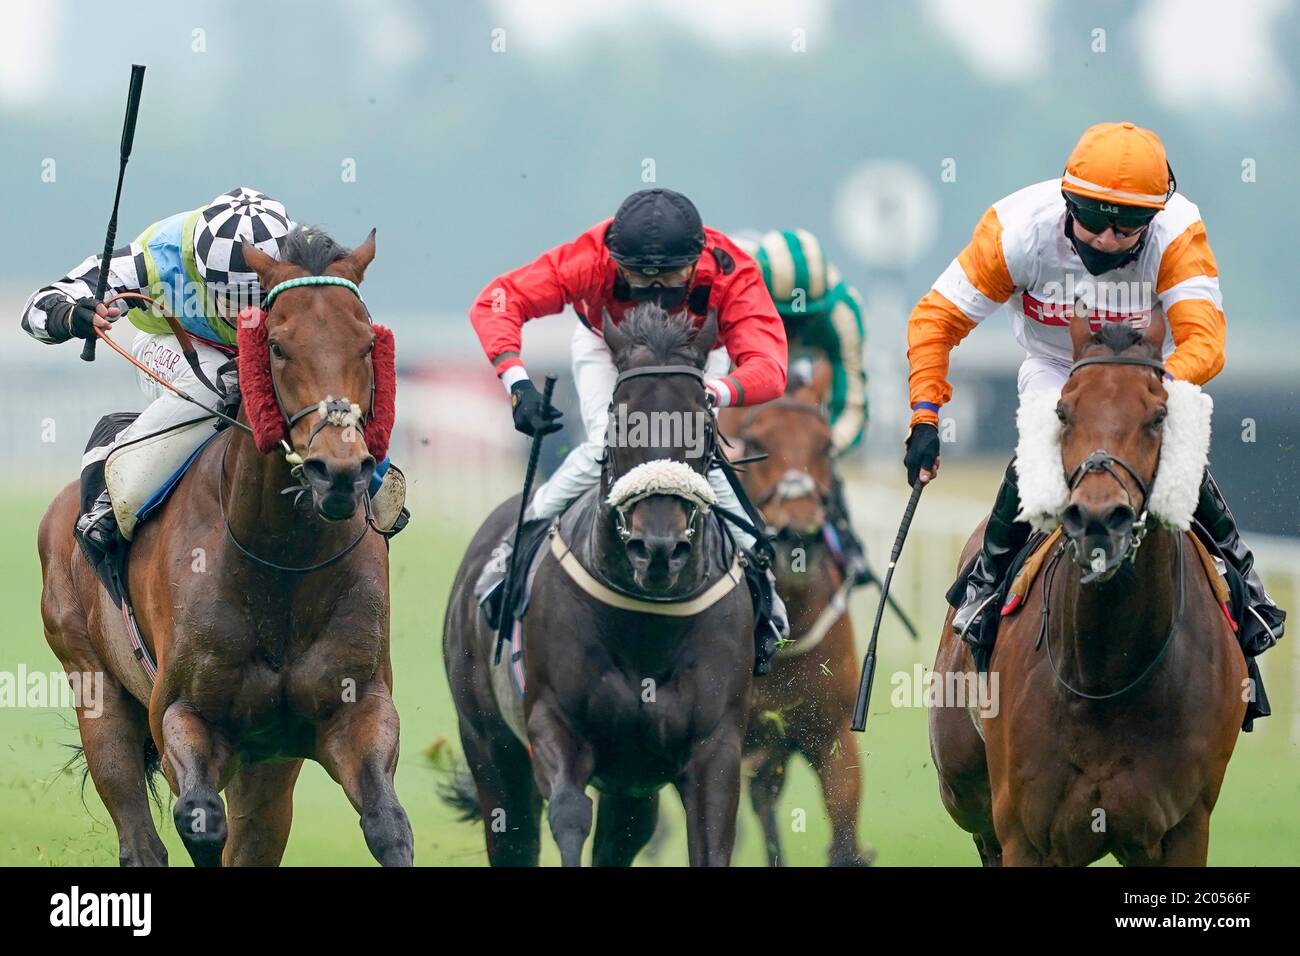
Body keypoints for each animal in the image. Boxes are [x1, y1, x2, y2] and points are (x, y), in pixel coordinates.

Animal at [35, 226, 410, 868]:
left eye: (366, 342)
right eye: (278, 346)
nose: (338, 471)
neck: (281, 566)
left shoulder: (354, 709)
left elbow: (388, 826)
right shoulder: (185, 714)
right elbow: (201, 820)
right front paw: (78, 309)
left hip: (269, 767)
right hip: (96, 691)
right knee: (140, 835)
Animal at [444, 304, 759, 868]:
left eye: (702, 425)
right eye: (618, 420)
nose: (658, 548)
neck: (648, 627)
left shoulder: (715, 747)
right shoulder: (554, 723)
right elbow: (570, 816)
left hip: (632, 784)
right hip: (489, 743)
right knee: (514, 833)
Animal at [930, 312, 1242, 868]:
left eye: (1159, 415)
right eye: (1063, 411)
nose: (1099, 518)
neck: (1106, 669)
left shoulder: (1184, 829)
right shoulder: (1024, 833)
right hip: (966, 792)